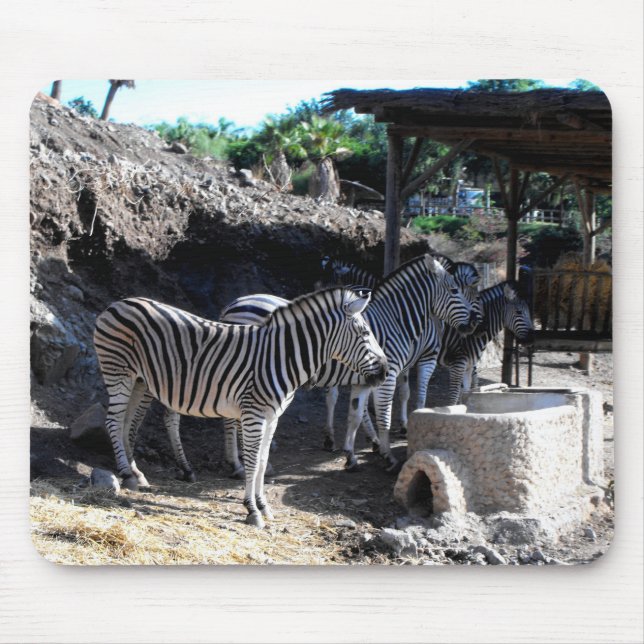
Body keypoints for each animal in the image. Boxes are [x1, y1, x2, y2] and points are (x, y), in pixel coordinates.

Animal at [93, 288, 388, 528]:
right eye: (365, 333)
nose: (385, 372)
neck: (281, 357)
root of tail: (118, 303)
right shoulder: (254, 413)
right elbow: (251, 461)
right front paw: (252, 510)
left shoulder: (272, 416)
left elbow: (262, 461)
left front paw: (263, 505)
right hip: (119, 372)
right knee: (113, 422)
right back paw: (126, 473)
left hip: (139, 380)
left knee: (127, 423)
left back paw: (135, 472)